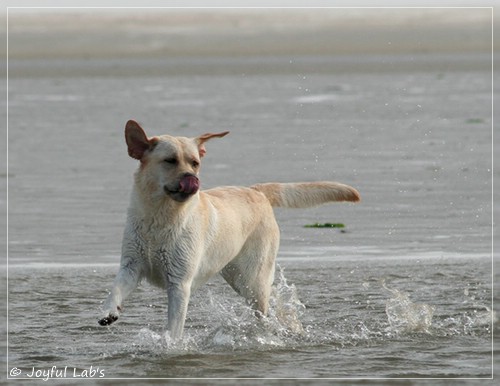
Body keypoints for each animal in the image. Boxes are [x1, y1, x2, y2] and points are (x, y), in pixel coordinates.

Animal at [97, 120, 362, 338]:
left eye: (195, 163)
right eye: (170, 160)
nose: (192, 179)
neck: (160, 218)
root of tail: (256, 190)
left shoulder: (179, 283)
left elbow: (174, 327)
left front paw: (169, 346)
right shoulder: (131, 265)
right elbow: (115, 288)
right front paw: (109, 312)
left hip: (253, 278)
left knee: (264, 306)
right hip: (239, 276)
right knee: (273, 298)